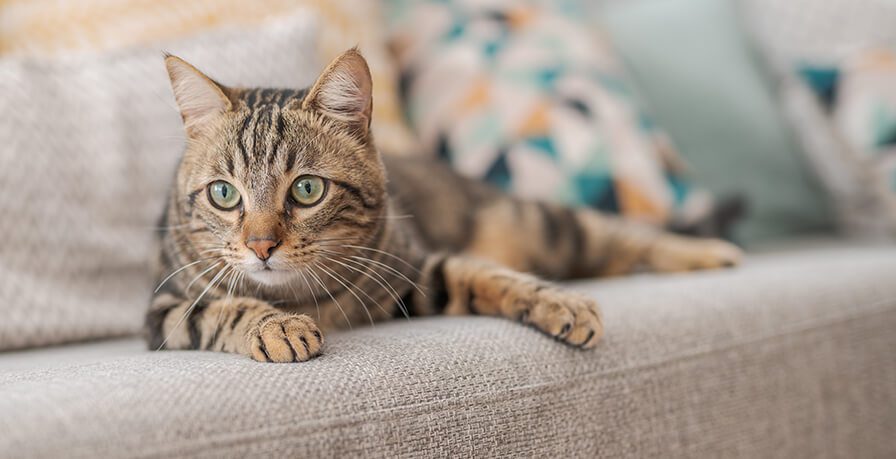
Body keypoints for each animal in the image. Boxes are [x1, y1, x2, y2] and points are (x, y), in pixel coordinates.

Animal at [150, 47, 744, 362]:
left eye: (307, 190)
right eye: (224, 194)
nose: (261, 246)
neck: (303, 296)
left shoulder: (416, 271)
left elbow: (486, 274)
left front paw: (560, 303)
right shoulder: (165, 312)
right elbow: (225, 308)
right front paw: (275, 327)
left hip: (541, 222)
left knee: (621, 235)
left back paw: (707, 252)